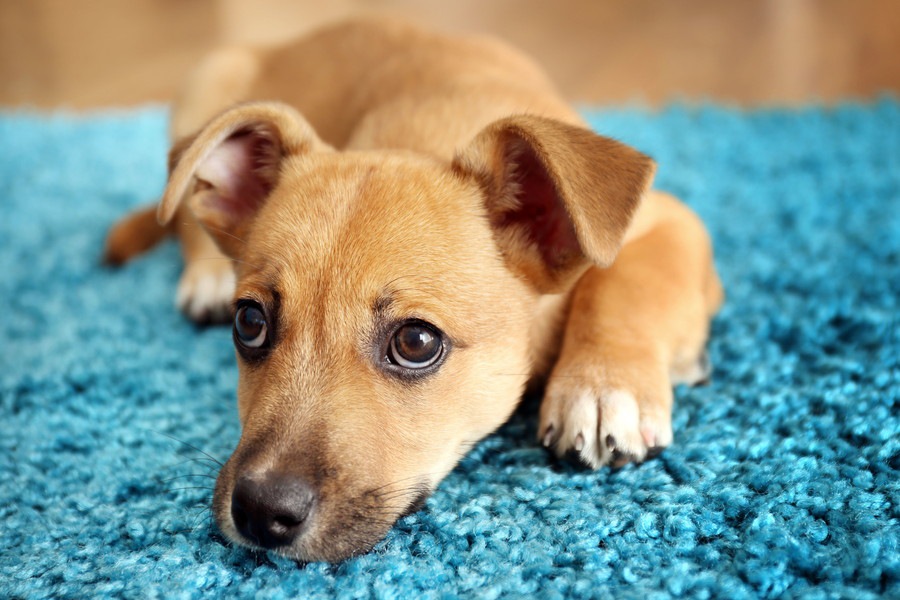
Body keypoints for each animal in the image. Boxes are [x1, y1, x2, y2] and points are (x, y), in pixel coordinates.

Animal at [107, 17, 724, 564]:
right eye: (250, 324)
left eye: (416, 343)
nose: (259, 513)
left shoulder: (672, 222)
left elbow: (627, 284)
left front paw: (602, 389)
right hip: (207, 81)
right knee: (183, 214)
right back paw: (205, 275)